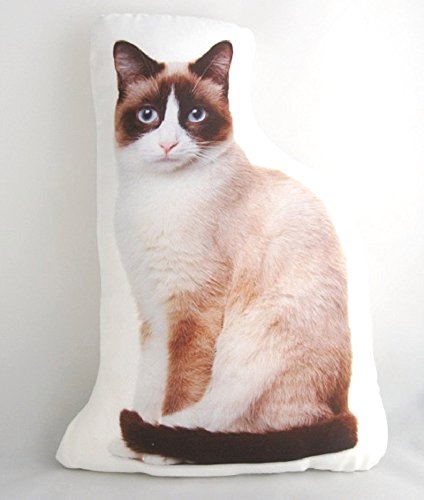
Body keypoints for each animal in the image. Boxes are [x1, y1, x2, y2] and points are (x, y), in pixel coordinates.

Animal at [111, 39, 357, 465]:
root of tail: (339, 408)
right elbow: (151, 379)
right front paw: (139, 441)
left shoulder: (192, 309)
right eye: (148, 115)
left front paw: (158, 445)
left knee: (234, 422)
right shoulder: (153, 308)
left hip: (248, 344)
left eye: (195, 115)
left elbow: (177, 386)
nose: (168, 144)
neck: (154, 196)